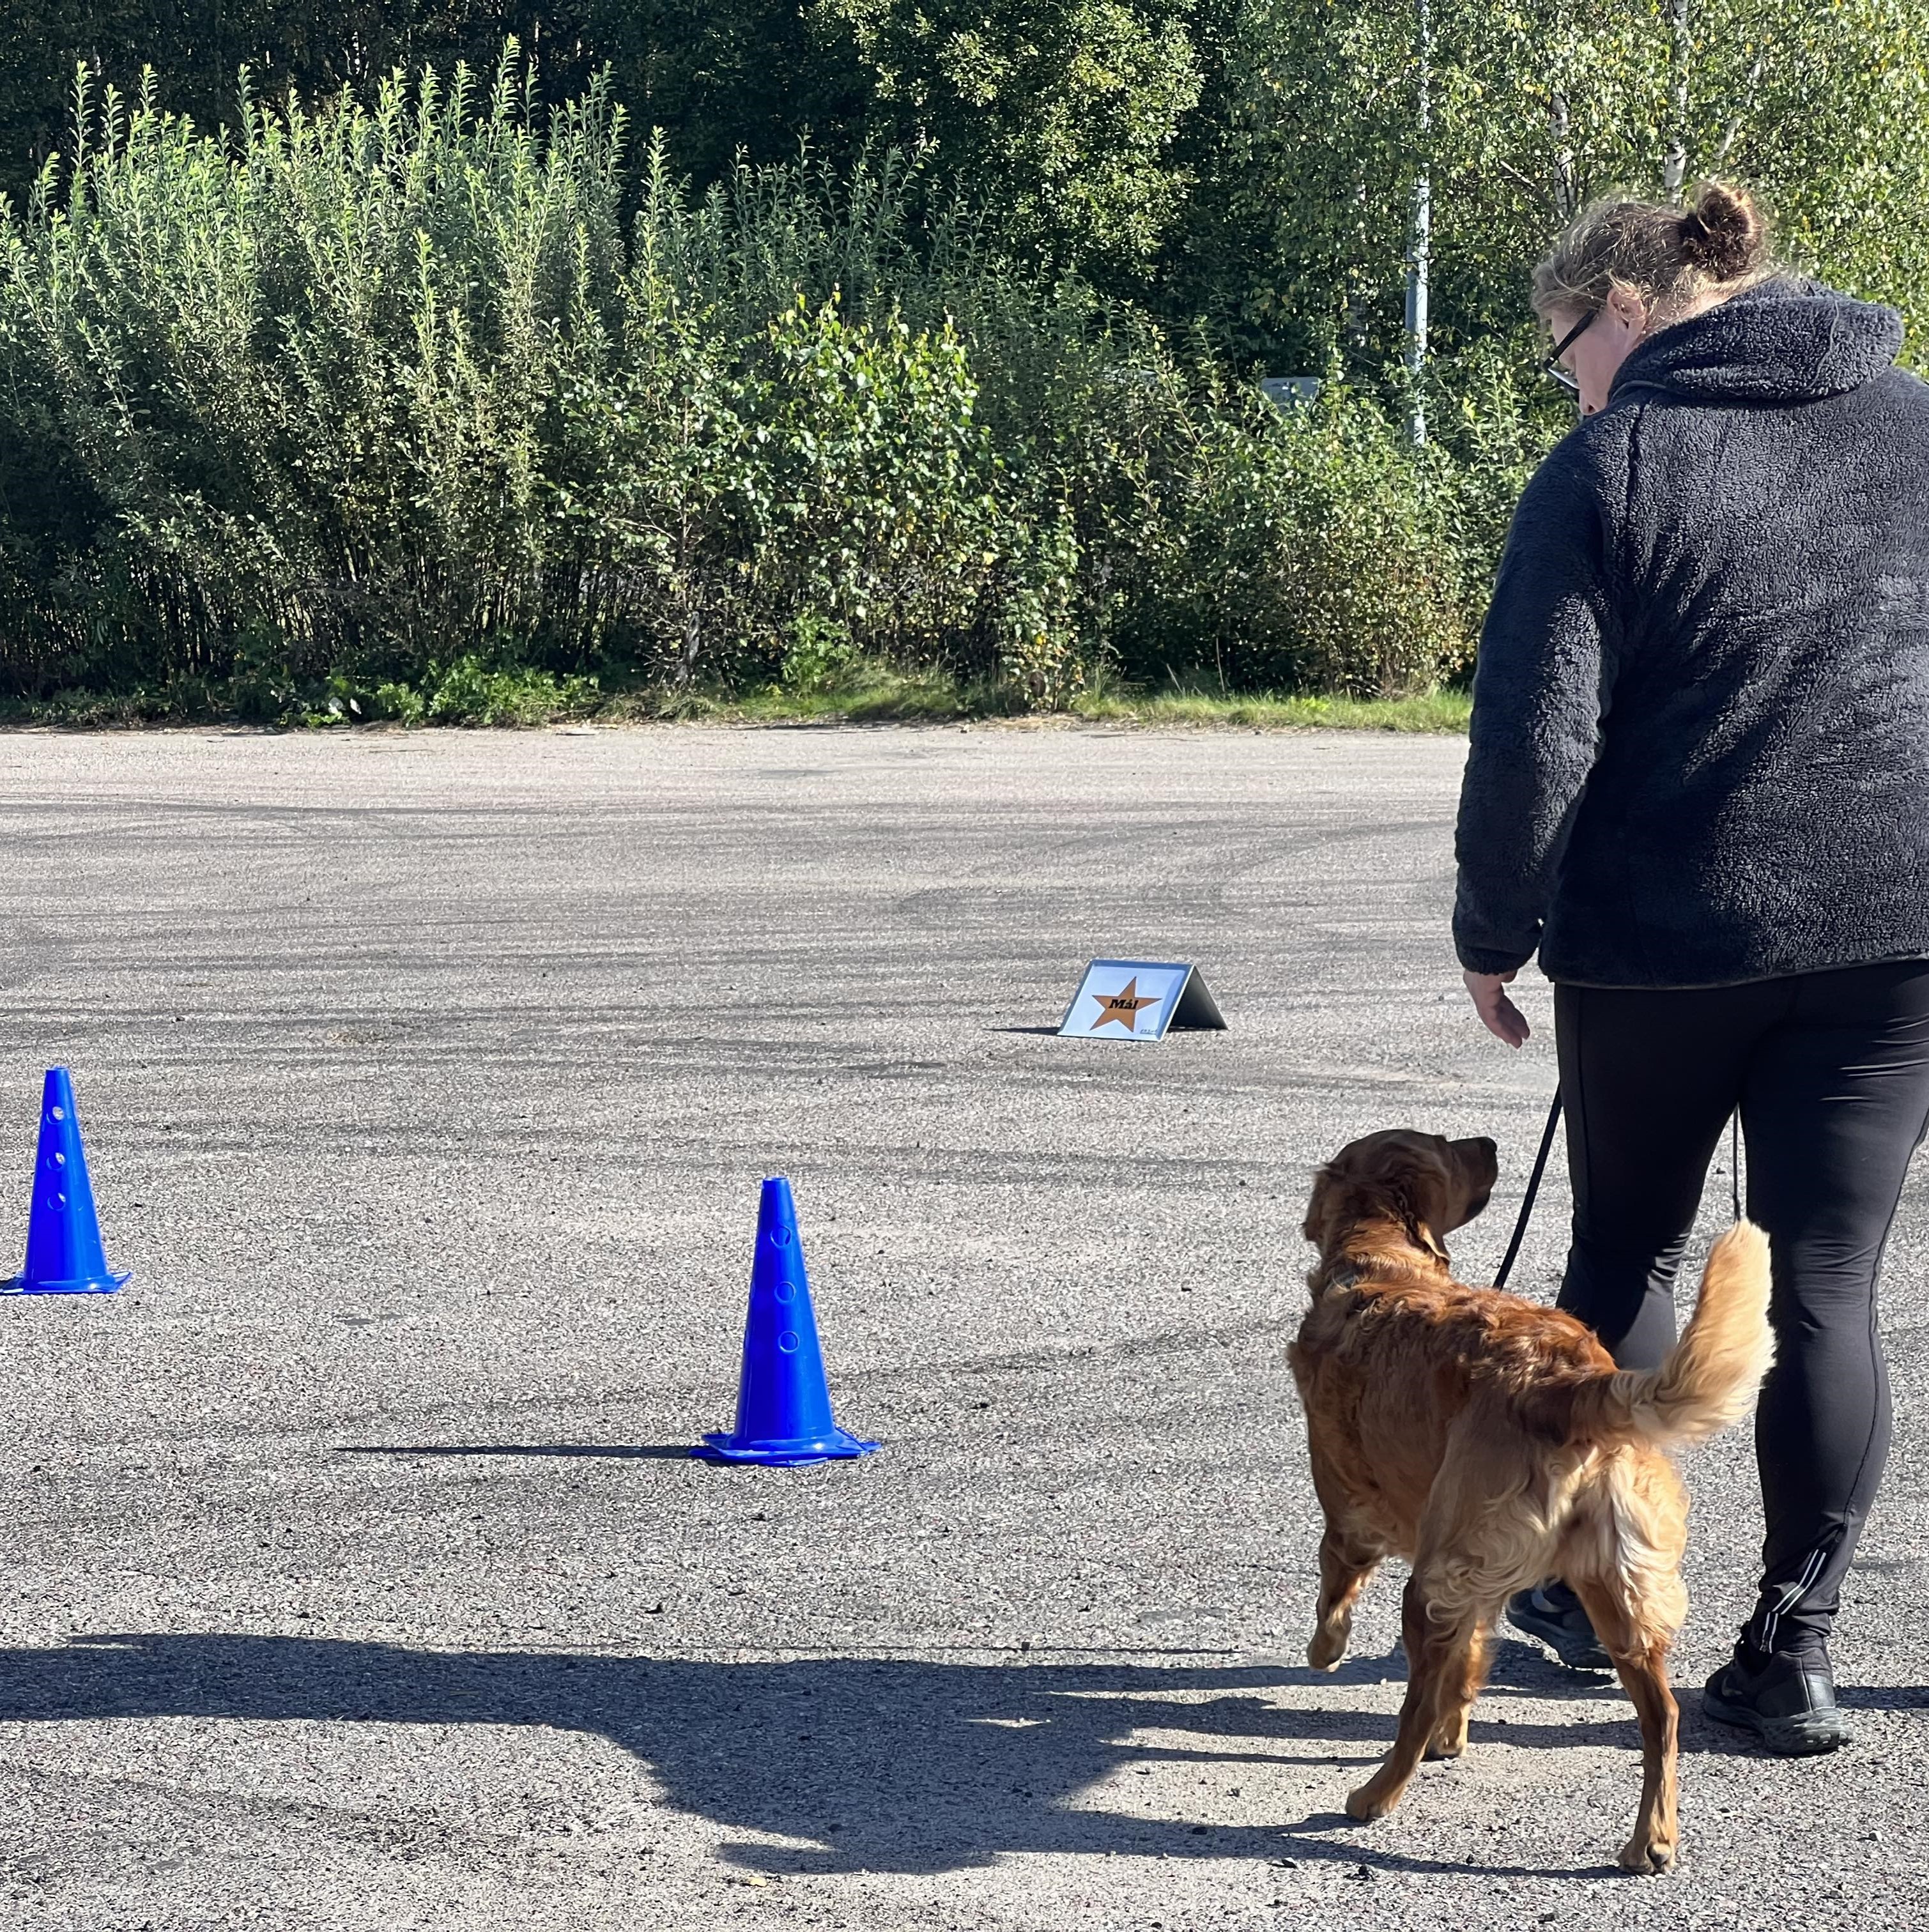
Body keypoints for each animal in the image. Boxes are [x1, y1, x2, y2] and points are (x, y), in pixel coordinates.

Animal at [1291, 1128, 1770, 1870]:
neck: (1382, 1262)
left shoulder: (1348, 1519)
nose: (1488, 1140)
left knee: (1413, 1707)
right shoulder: (1477, 1584)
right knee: (1662, 1717)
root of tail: (1568, 1381)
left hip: (1434, 1578)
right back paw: (1651, 1839)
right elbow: (1469, 1661)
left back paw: (1374, 1796)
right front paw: (1455, 1733)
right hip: (1616, 1589)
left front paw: (1327, 1652)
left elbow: (1333, 1601)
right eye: (1447, 1145)